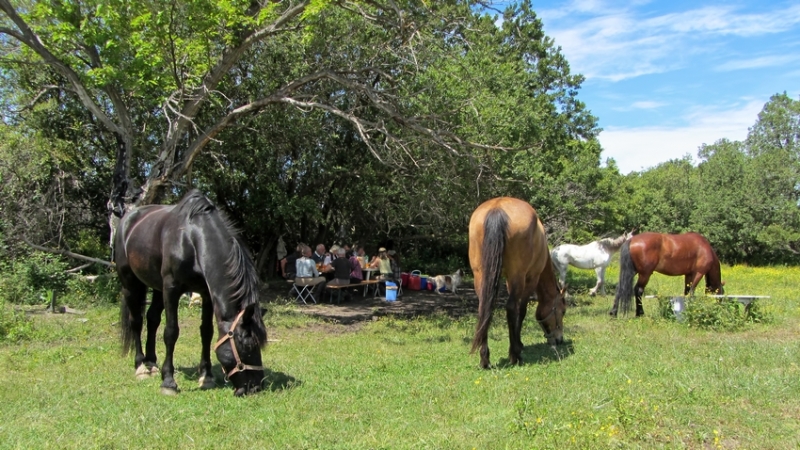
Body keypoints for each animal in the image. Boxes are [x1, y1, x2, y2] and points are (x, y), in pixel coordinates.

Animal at [114, 191, 268, 398]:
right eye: (248, 346)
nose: (255, 387)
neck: (191, 238)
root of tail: (127, 219)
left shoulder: (205, 293)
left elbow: (207, 332)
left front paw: (206, 376)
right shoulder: (171, 289)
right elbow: (171, 332)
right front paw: (168, 382)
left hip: (157, 287)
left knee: (152, 319)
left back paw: (151, 362)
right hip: (130, 284)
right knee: (136, 322)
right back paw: (141, 367)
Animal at [468, 197, 568, 370]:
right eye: (562, 311)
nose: (559, 339)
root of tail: (497, 208)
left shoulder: (508, 280)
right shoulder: (531, 278)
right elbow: (521, 311)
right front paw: (519, 344)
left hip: (480, 275)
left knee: (484, 309)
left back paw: (484, 359)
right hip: (518, 276)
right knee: (510, 308)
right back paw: (515, 355)